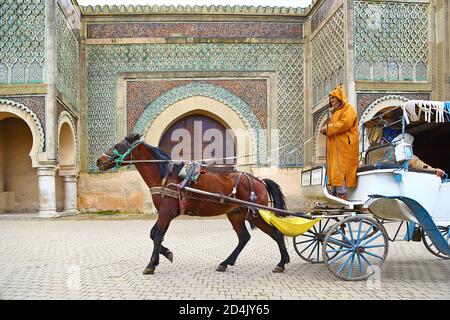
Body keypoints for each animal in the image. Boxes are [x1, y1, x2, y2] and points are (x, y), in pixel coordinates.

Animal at [96, 132, 290, 276]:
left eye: (117, 146)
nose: (99, 161)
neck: (165, 176)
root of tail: (258, 180)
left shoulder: (166, 213)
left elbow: (157, 236)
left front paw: (151, 265)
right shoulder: (165, 213)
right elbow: (153, 234)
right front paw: (165, 254)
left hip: (254, 214)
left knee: (276, 233)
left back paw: (281, 262)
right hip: (236, 213)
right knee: (244, 237)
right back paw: (225, 263)